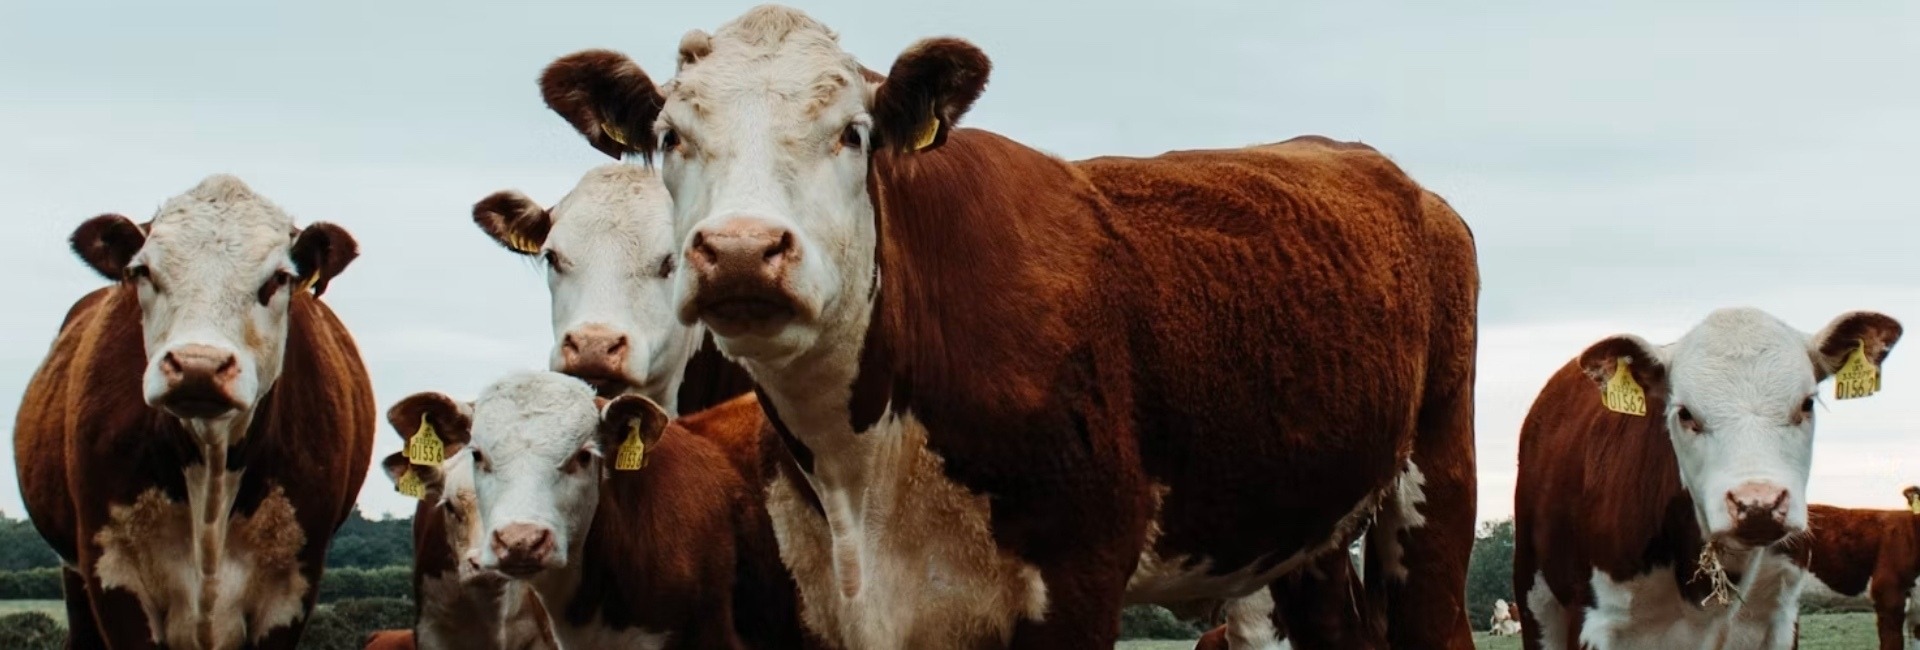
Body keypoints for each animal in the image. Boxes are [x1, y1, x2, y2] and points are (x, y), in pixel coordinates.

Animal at [534, 5, 1482, 648]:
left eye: (853, 133)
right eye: (669, 136)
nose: (740, 250)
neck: (864, 466)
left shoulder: (1077, 580)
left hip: (1435, 486)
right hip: (1302, 534)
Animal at [1513, 307, 1902, 649]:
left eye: (1806, 404)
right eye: (1685, 413)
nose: (1757, 504)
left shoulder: (1780, 618)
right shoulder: (1595, 620)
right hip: (1537, 602)